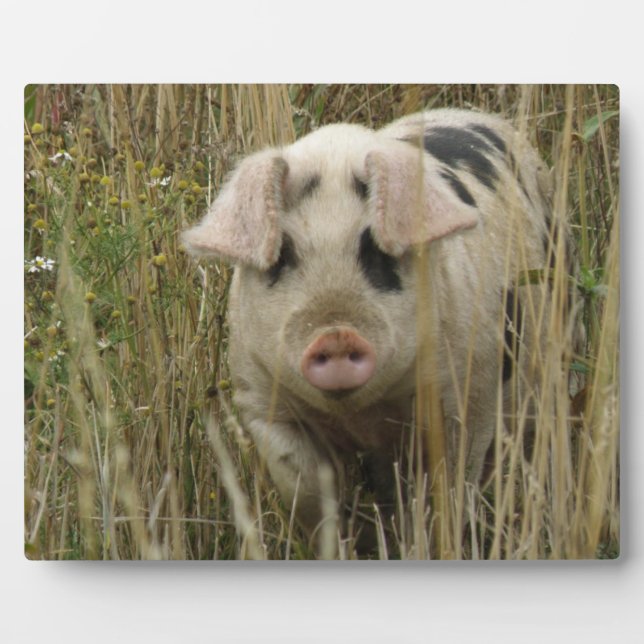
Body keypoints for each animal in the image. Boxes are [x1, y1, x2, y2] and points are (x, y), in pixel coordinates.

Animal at [182, 108, 566, 555]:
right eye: (282, 256)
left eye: (377, 251)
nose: (336, 335)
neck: (362, 415)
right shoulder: (263, 401)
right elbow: (304, 488)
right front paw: (351, 540)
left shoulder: (469, 396)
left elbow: (448, 491)